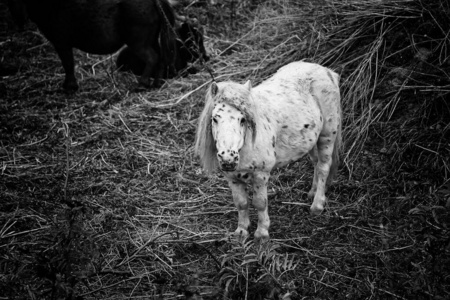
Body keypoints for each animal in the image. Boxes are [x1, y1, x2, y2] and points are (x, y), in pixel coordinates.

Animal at [8, 0, 178, 90]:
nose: (19, 23)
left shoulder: (61, 41)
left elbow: (68, 63)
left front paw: (69, 87)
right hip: (151, 39)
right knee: (160, 58)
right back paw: (156, 84)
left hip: (138, 41)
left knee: (152, 58)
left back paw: (140, 84)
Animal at [195, 61, 342, 241]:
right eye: (215, 118)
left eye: (242, 119)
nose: (228, 158)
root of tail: (325, 71)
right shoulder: (232, 178)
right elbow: (241, 203)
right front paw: (241, 231)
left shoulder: (261, 175)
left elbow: (259, 203)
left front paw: (261, 233)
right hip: (313, 140)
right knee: (316, 163)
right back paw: (312, 193)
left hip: (327, 135)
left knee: (323, 167)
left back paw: (317, 205)